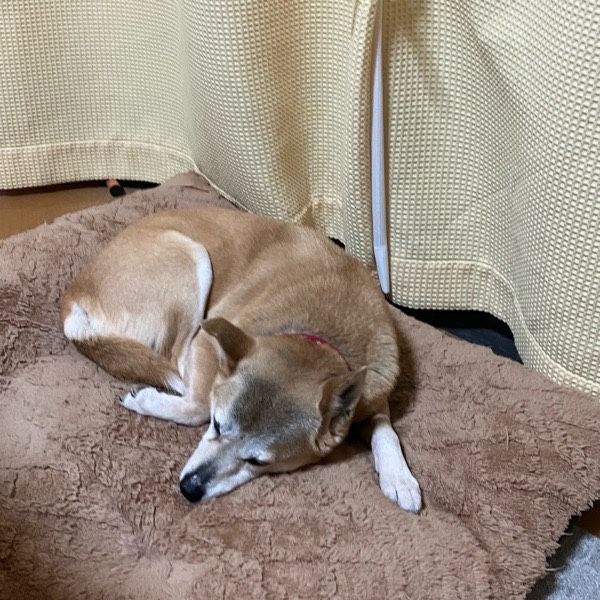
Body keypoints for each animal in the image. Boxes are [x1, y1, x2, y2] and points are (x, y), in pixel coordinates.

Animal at [60, 207, 421, 512]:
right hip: (192, 263)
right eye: (217, 426)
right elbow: (197, 405)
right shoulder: (207, 342)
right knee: (178, 364)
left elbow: (386, 430)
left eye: (258, 462)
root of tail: (73, 298)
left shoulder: (371, 397)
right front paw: (148, 400)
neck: (322, 336)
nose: (190, 489)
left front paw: (400, 478)